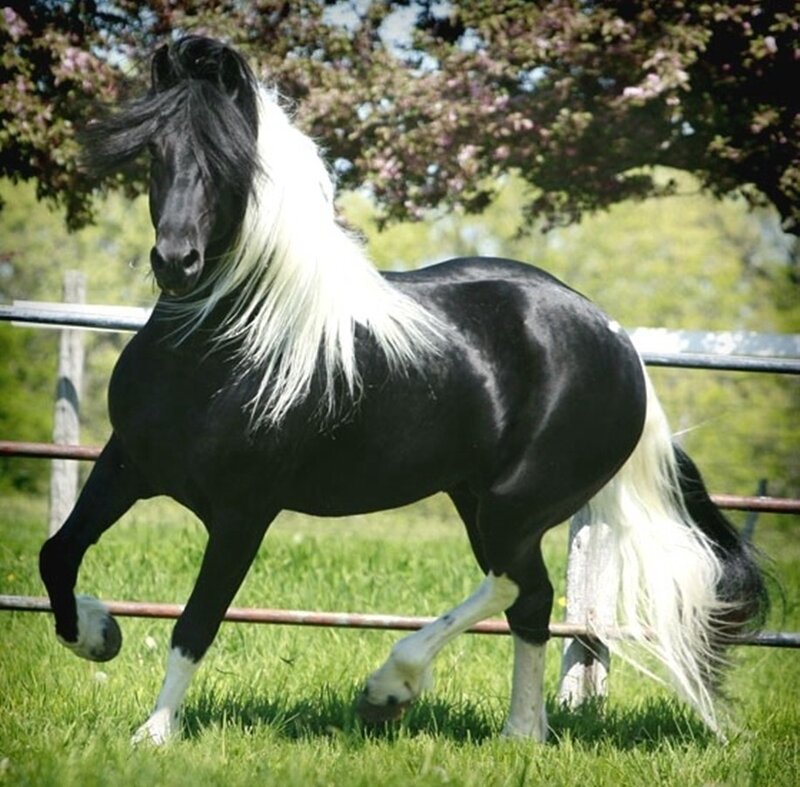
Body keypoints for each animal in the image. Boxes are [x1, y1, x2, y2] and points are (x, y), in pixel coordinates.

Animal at [39, 36, 767, 746]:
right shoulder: (127, 465)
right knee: (531, 602)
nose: (176, 262)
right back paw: (520, 734)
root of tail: (618, 341)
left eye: (229, 159)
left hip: (513, 506)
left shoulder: (244, 511)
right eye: (155, 150)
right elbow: (57, 554)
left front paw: (155, 733)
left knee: (512, 585)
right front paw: (100, 633)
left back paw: (391, 688)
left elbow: (196, 622)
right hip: (478, 499)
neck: (216, 344)